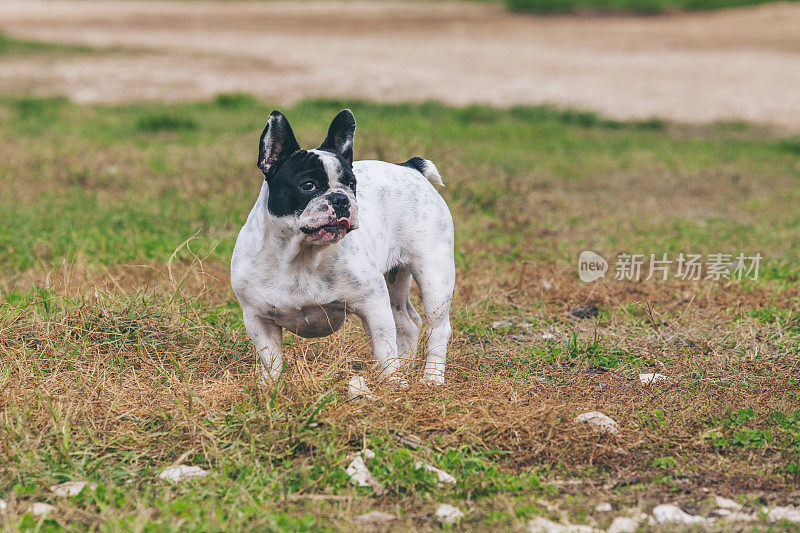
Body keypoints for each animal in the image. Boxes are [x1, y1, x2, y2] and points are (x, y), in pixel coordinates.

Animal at [231, 109, 456, 382]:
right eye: (308, 185)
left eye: (352, 184)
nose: (340, 198)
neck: (301, 257)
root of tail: (410, 167)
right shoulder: (257, 319)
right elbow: (270, 359)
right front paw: (270, 385)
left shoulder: (374, 305)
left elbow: (384, 349)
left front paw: (390, 382)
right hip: (395, 280)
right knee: (407, 324)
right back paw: (405, 373)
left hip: (435, 273)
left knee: (438, 328)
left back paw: (431, 378)